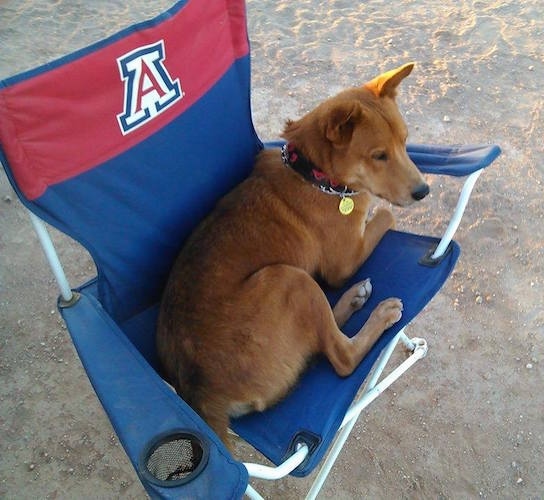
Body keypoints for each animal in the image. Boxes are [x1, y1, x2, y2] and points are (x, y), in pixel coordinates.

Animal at [156, 63, 430, 446]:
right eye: (378, 155)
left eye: (405, 142)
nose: (424, 191)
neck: (315, 175)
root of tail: (200, 392)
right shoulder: (344, 262)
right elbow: (385, 216)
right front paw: (380, 212)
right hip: (288, 278)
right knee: (341, 356)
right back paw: (379, 312)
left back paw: (354, 299)